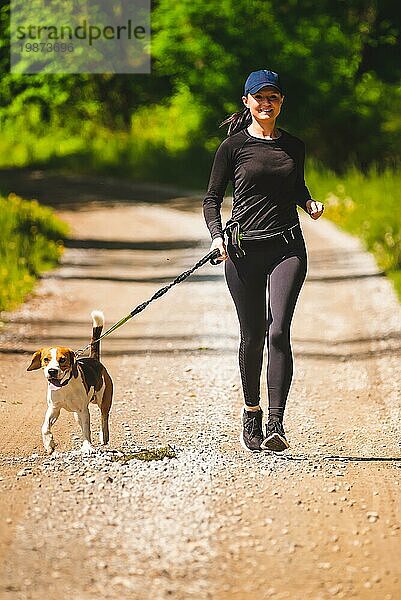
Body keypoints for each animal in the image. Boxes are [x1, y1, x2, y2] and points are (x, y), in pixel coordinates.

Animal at [27, 310, 112, 454]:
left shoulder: (83, 410)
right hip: (77, 414)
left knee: (104, 418)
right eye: (46, 359)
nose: (52, 371)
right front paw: (49, 444)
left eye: (62, 360)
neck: (64, 386)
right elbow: (45, 427)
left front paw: (87, 446)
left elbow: (87, 430)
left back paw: (103, 436)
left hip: (104, 401)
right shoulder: (54, 408)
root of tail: (94, 359)